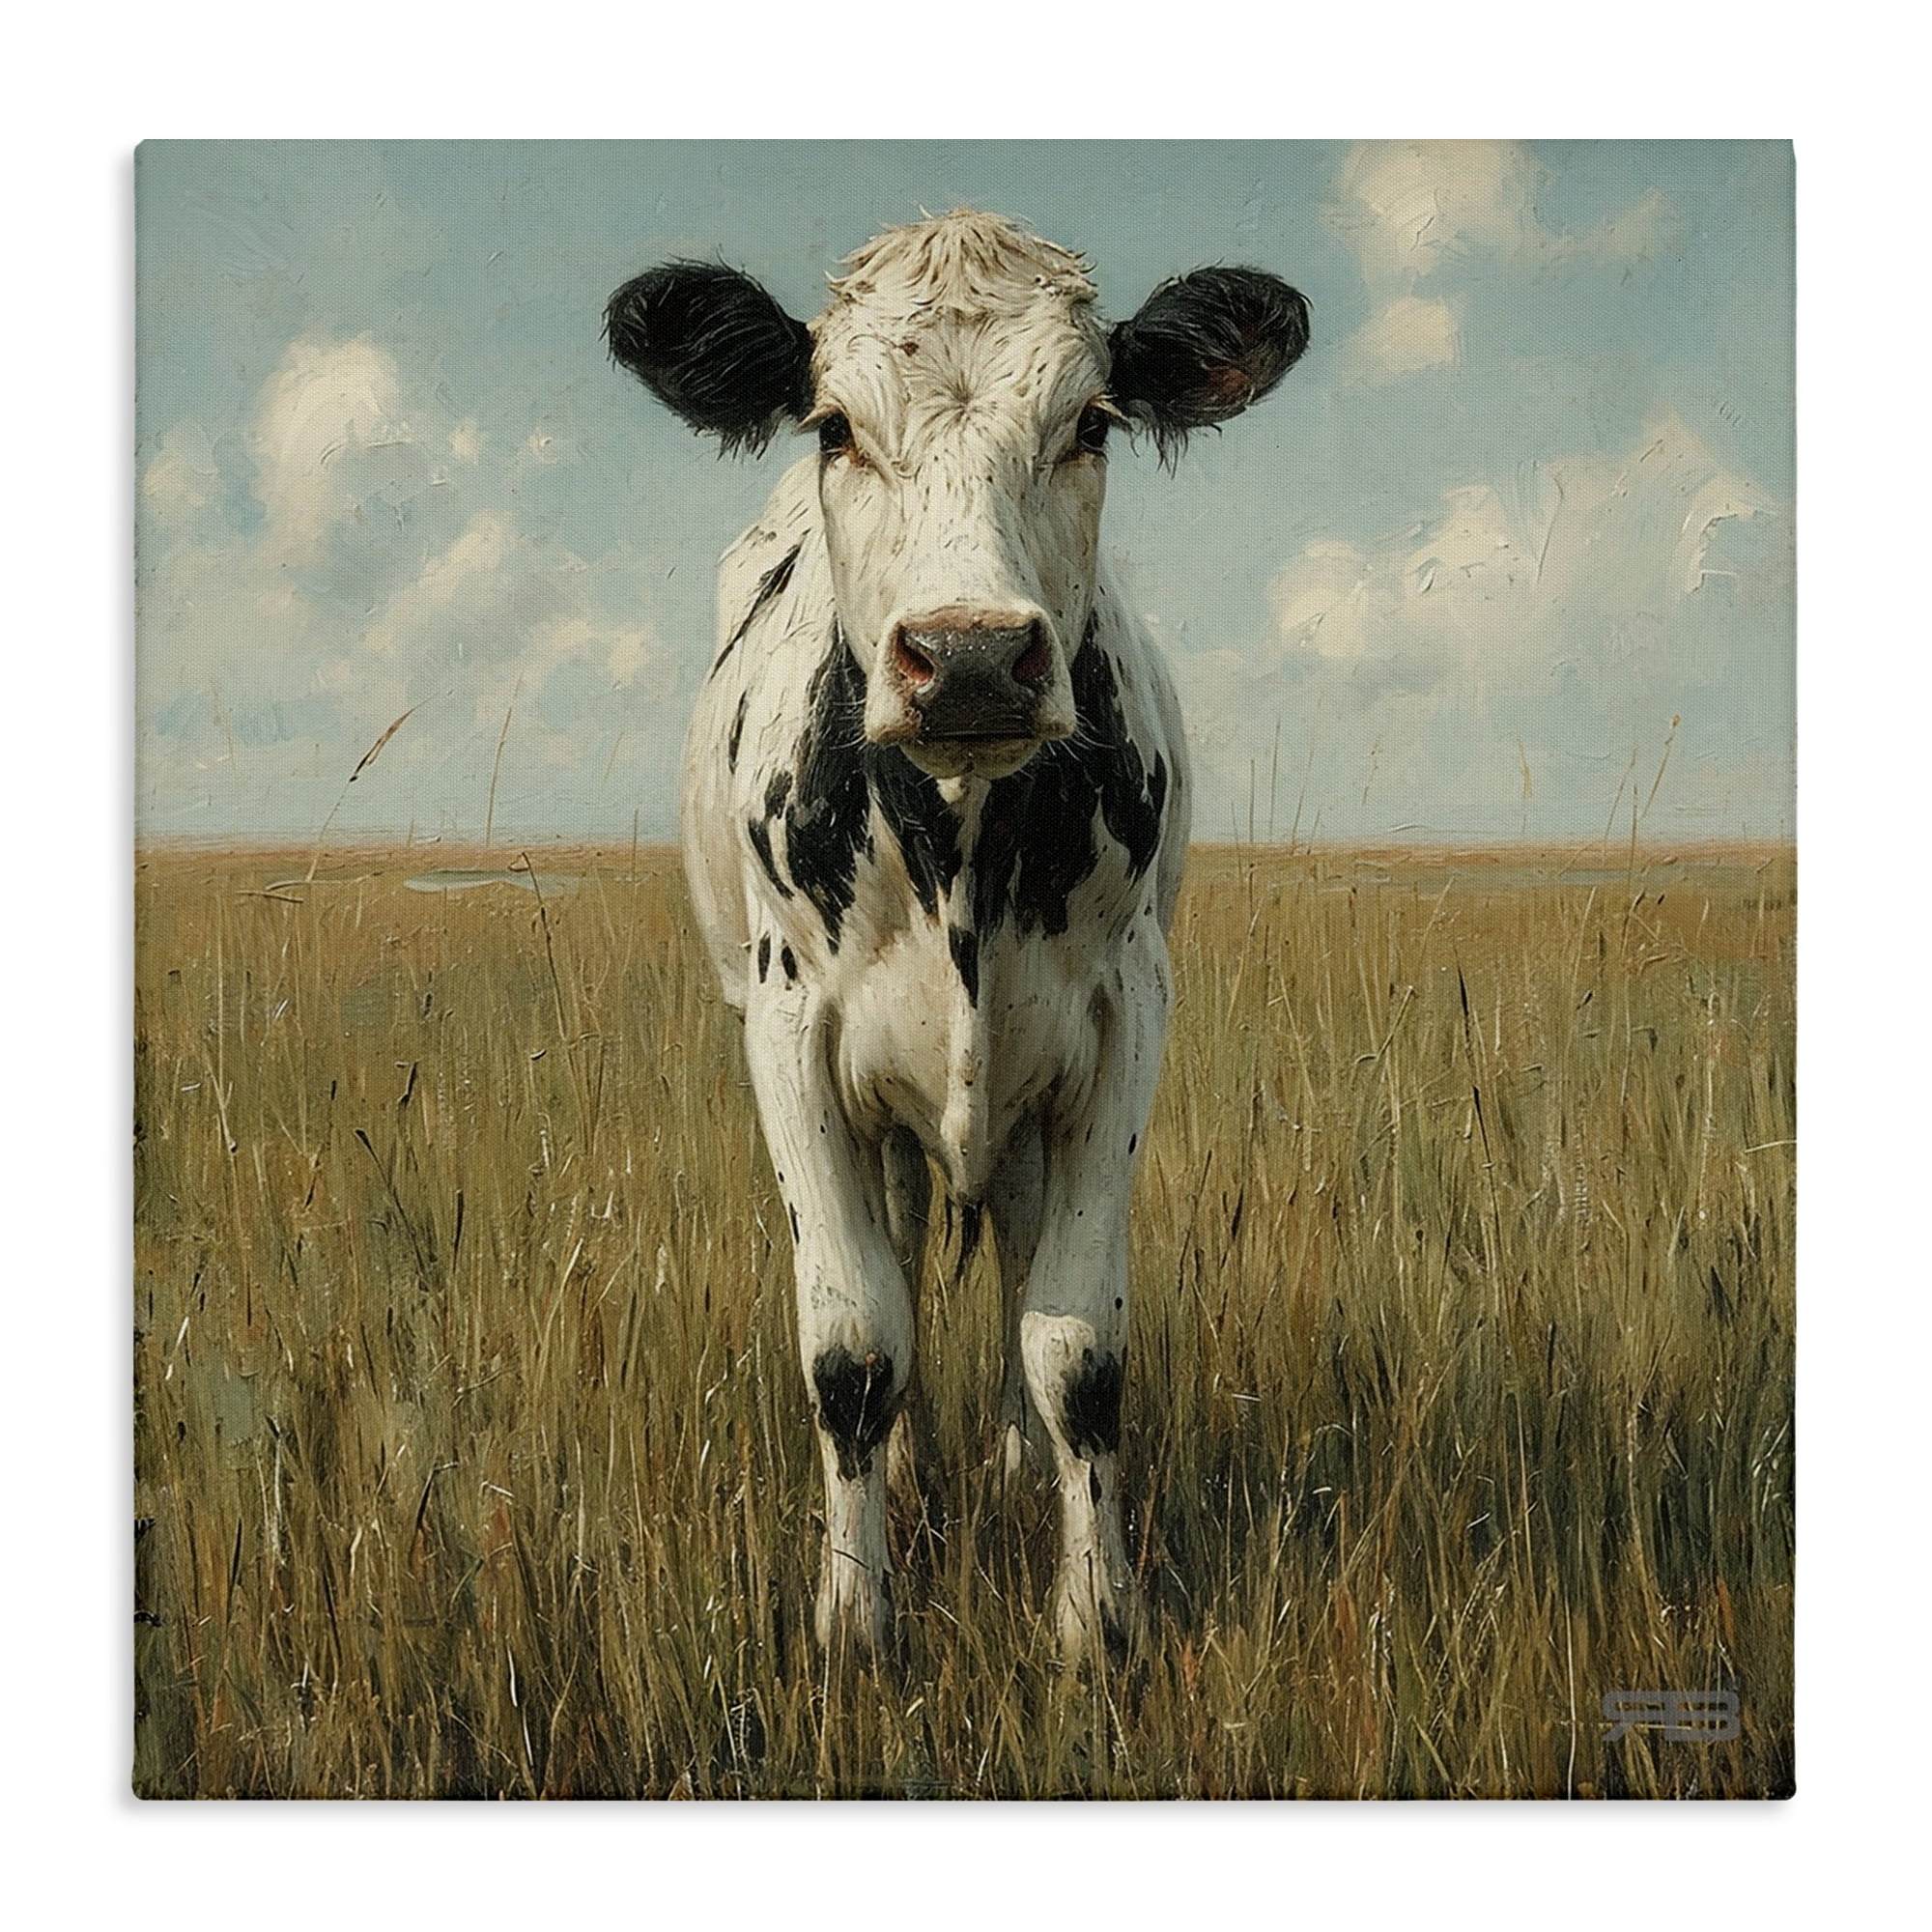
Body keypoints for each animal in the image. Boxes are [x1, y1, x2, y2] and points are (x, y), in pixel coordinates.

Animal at [606, 211, 1308, 1666]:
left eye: (1091, 421)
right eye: (832, 425)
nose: (972, 656)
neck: (962, 850)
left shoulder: (1122, 1017)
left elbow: (1074, 1342)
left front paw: (1094, 1618)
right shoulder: (787, 1029)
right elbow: (854, 1340)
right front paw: (854, 1618)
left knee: (1012, 1257)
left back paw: (1005, 1461)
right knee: (906, 1248)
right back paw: (920, 1468)